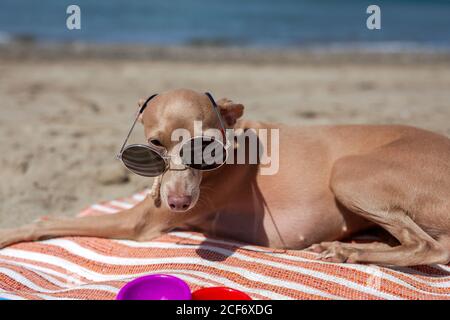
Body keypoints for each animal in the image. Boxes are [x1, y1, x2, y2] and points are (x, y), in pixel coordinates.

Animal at [0, 89, 450, 266]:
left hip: (349, 173)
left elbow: (49, 222)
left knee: (429, 247)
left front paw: (11, 232)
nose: (179, 203)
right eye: (154, 143)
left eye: (206, 148)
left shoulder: (140, 223)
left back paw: (347, 252)